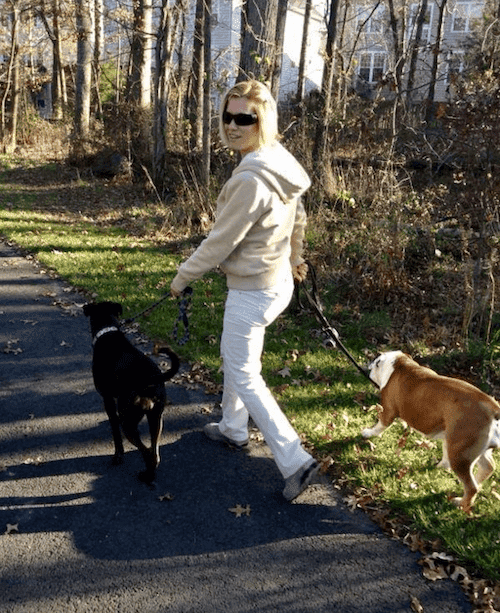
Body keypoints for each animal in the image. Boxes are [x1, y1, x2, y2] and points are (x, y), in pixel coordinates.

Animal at [83, 302, 180, 482]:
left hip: (127, 421)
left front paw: (118, 456)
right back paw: (149, 474)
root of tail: (149, 380)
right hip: (156, 418)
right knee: (154, 452)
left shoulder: (108, 399)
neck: (108, 333)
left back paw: (146, 475)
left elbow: (115, 432)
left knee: (146, 451)